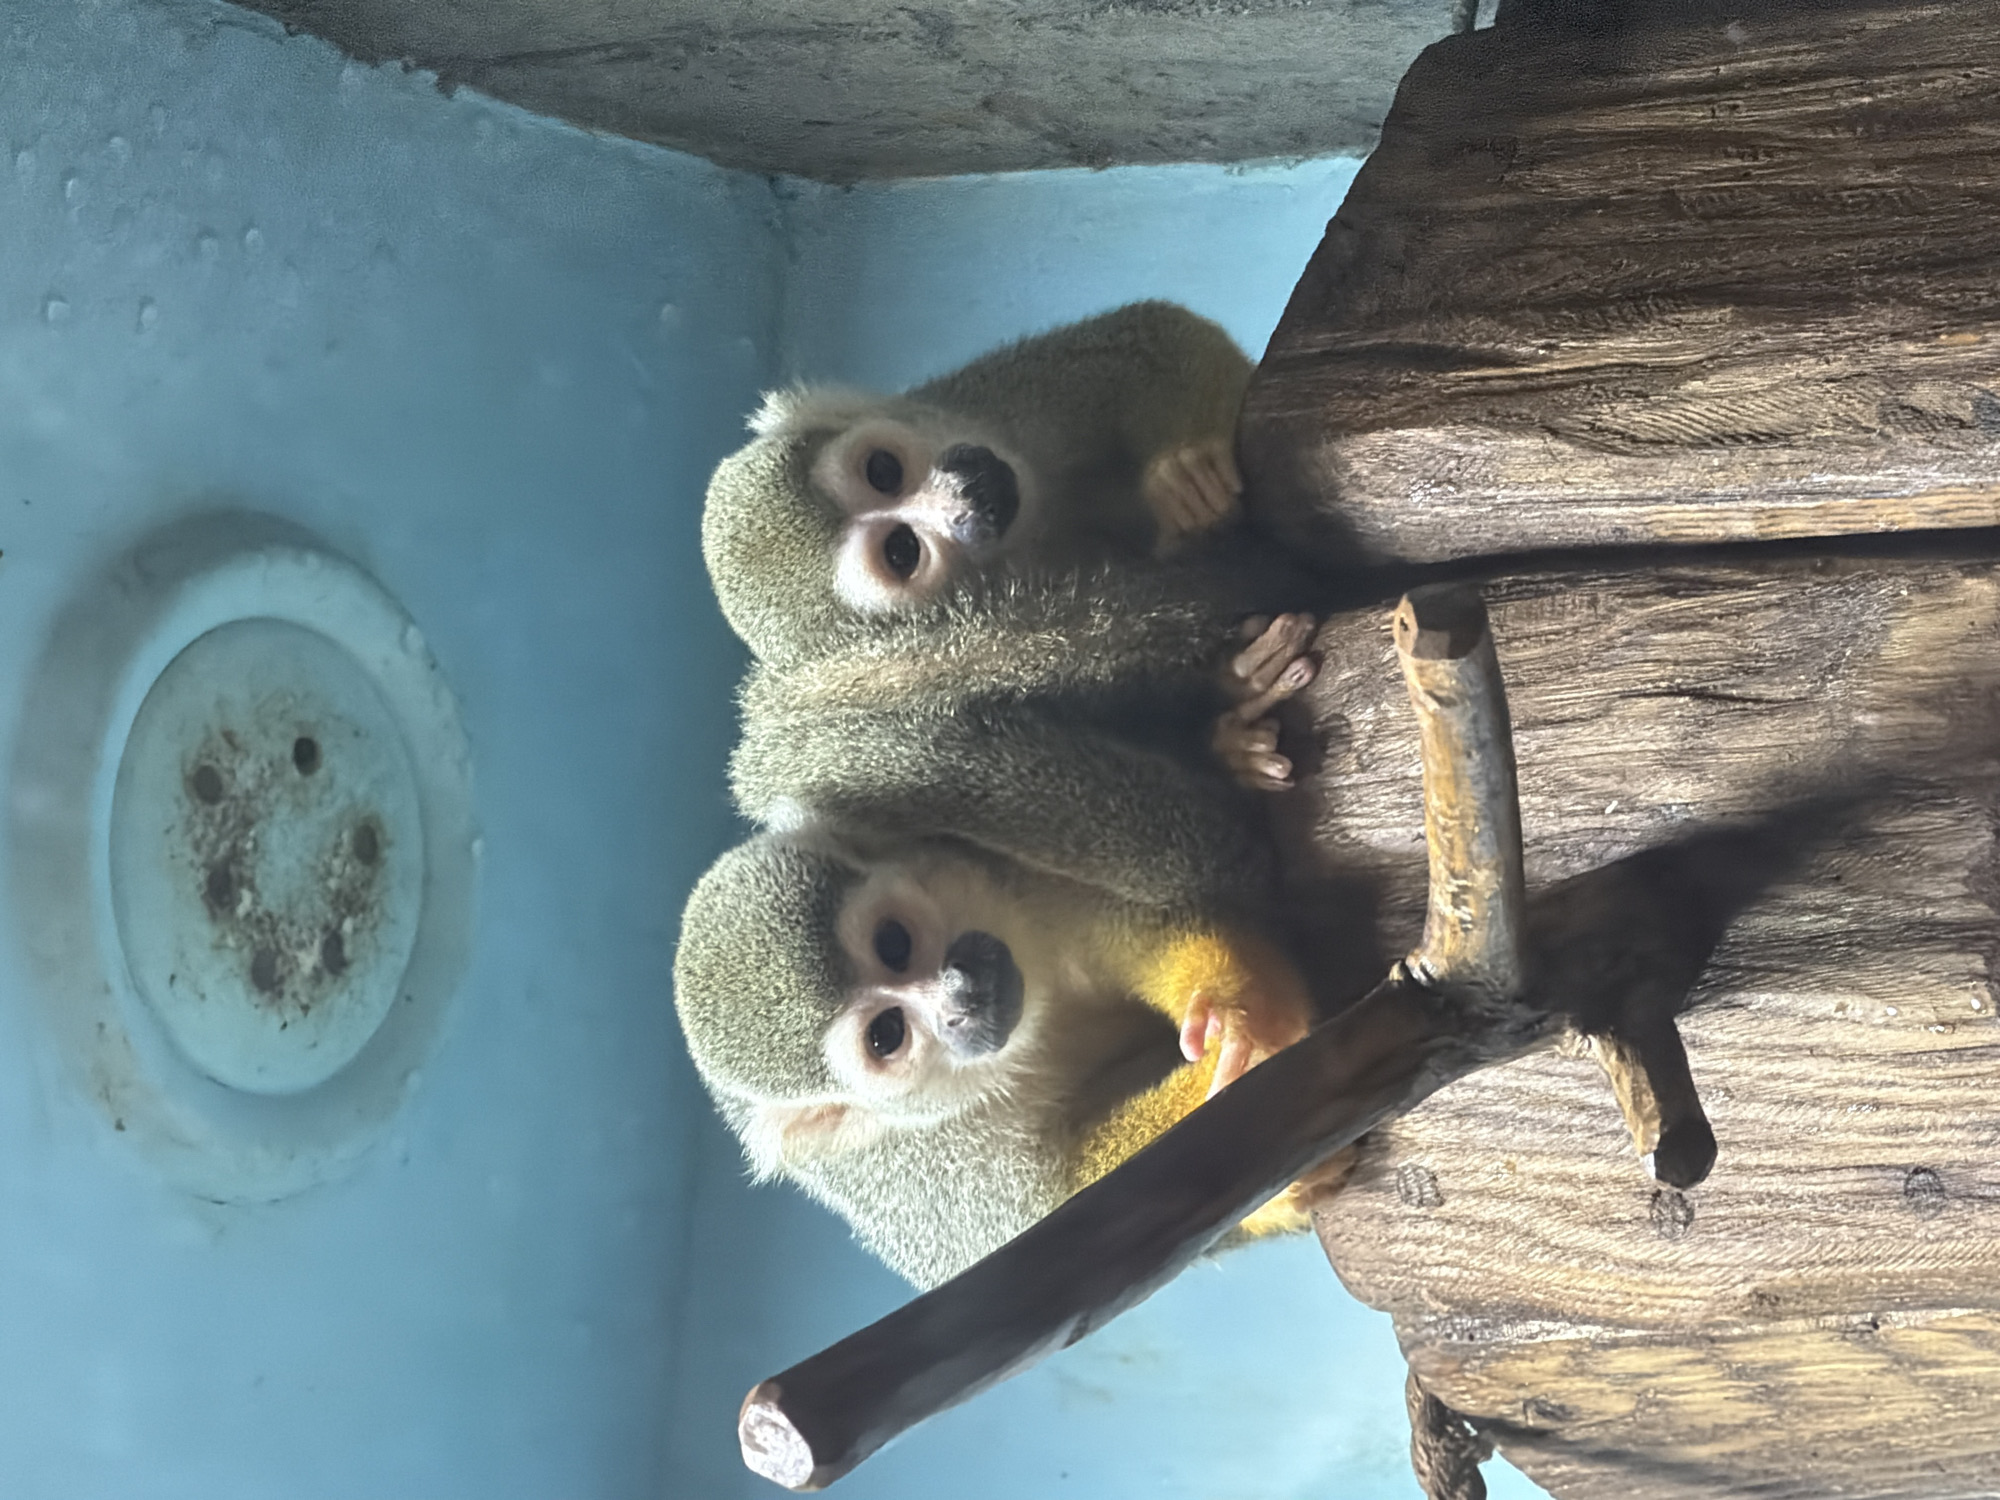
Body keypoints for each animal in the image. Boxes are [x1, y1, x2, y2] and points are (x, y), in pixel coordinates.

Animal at [701, 301, 1263, 667]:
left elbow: (1146, 336)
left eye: (883, 470)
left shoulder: (983, 398)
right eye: (902, 551)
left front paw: (1186, 470)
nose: (969, 490)